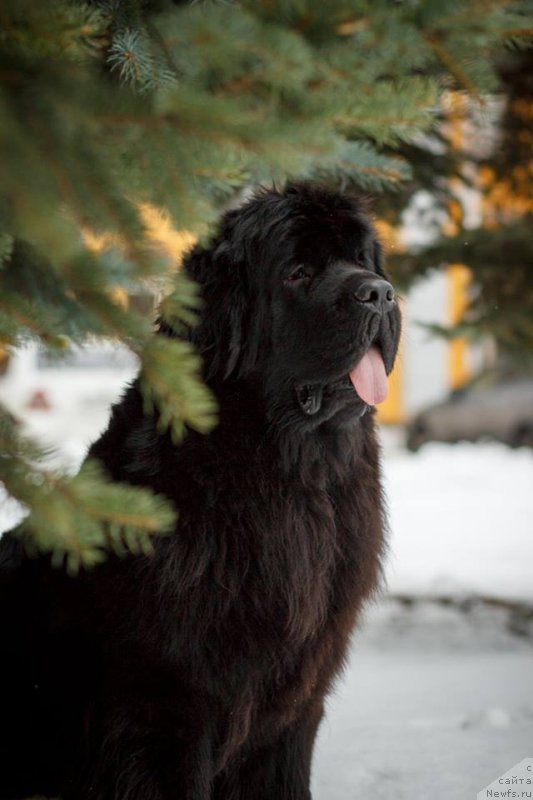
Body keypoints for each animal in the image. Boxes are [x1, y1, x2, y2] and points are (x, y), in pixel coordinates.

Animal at [0, 183, 400, 800]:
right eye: (298, 272)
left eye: (363, 261)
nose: (379, 294)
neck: (290, 481)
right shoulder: (167, 711)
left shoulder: (294, 709)